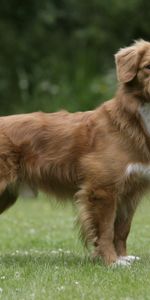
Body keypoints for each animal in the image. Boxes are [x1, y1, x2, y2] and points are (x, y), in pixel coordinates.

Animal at [0, 38, 150, 266]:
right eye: (148, 67)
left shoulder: (131, 191)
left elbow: (122, 230)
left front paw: (123, 257)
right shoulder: (102, 189)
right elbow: (106, 230)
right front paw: (111, 262)